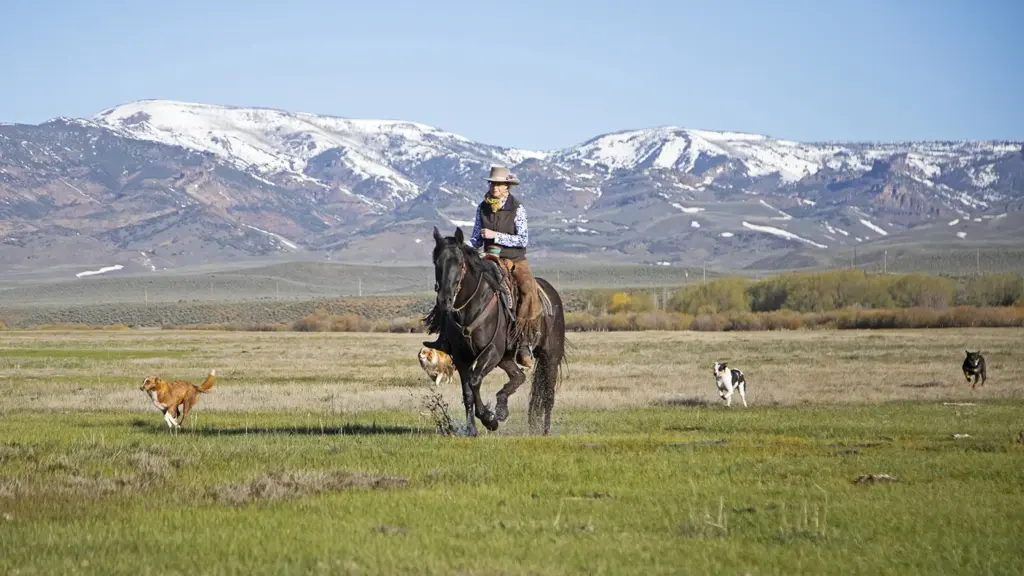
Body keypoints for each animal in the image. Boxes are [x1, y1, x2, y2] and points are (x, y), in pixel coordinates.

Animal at [426, 226, 566, 436]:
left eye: (460, 263)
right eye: (436, 262)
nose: (445, 300)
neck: (472, 307)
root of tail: (552, 294)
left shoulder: (492, 350)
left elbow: (475, 380)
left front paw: (488, 419)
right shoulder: (462, 357)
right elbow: (467, 392)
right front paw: (472, 428)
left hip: (550, 355)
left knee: (548, 394)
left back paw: (544, 431)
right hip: (506, 357)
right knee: (519, 376)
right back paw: (502, 408)